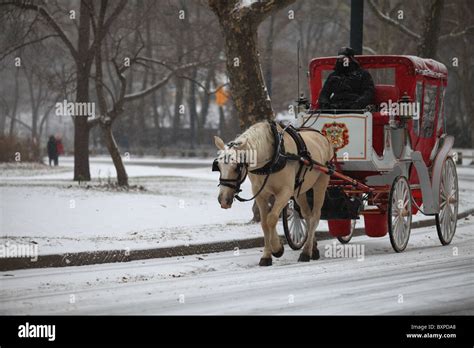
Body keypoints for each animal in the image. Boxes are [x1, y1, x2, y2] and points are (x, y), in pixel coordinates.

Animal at [215, 121, 334, 266]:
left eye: (237, 167)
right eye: (218, 166)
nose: (223, 200)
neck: (273, 156)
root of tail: (322, 137)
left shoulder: (285, 192)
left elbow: (271, 218)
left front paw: (277, 248)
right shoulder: (261, 195)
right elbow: (264, 223)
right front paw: (267, 255)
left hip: (321, 183)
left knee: (315, 216)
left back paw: (306, 252)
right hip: (300, 190)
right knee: (307, 216)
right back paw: (313, 249)